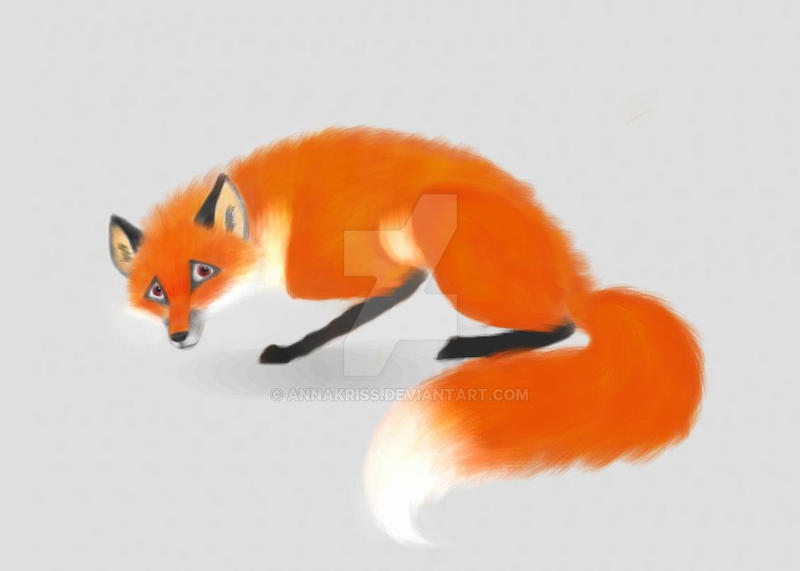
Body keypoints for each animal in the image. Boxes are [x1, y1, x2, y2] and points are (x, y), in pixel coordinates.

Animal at [109, 127, 703, 543]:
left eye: (202, 272)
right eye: (157, 291)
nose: (177, 336)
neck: (274, 215)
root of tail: (578, 279)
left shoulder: (345, 267)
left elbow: (375, 298)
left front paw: (290, 350)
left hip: (451, 249)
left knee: (563, 324)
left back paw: (469, 345)